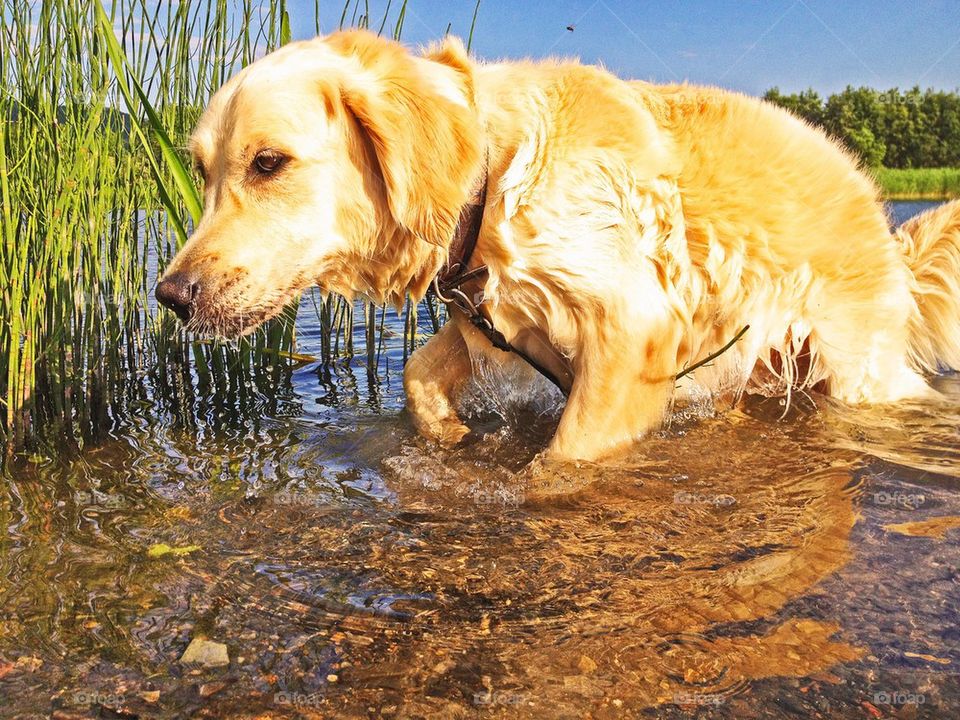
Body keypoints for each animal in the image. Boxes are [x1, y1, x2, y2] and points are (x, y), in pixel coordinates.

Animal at [156, 29, 960, 462]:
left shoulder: (634, 327)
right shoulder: (489, 312)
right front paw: (450, 436)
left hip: (858, 370)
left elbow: (567, 458)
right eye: (201, 170)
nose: (170, 297)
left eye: (268, 163)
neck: (496, 169)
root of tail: (882, 223)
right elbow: (417, 371)